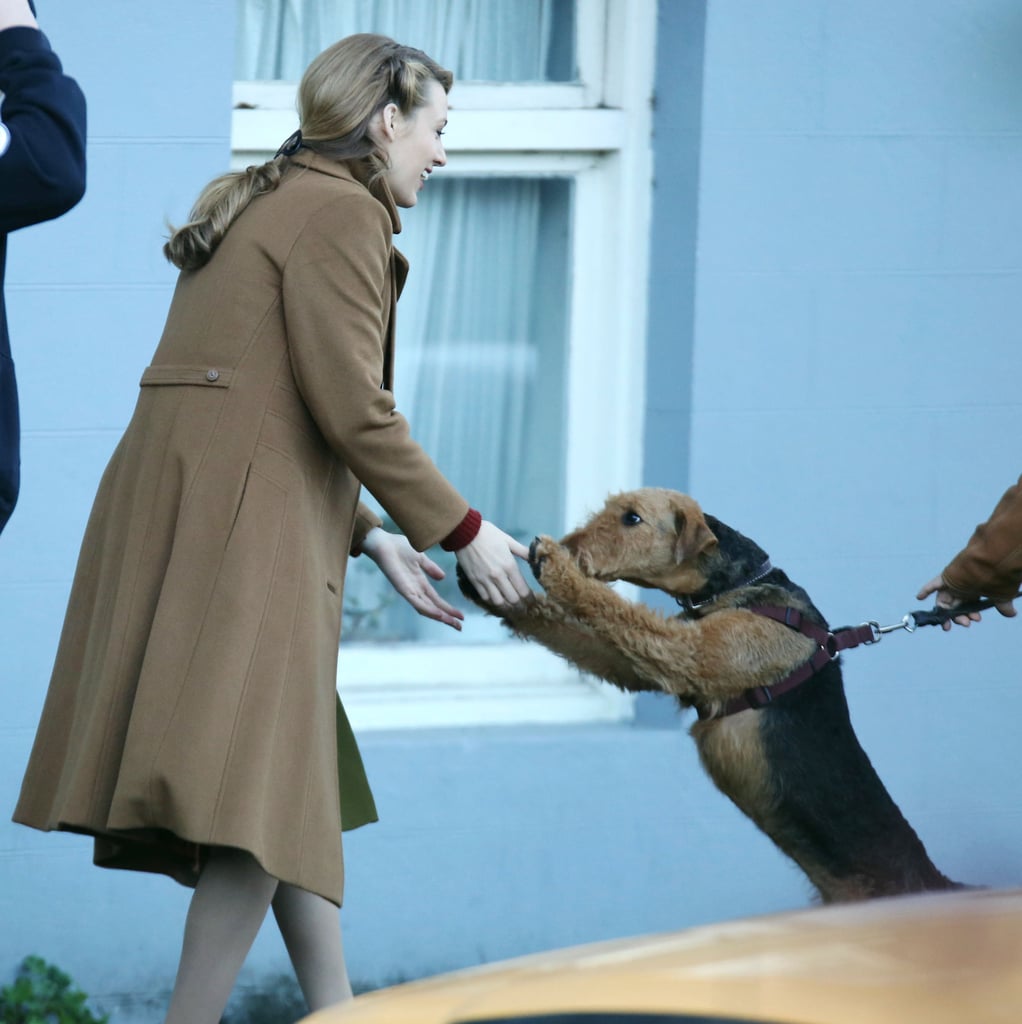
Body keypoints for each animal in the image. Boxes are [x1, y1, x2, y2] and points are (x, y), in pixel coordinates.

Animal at [460, 491, 962, 901]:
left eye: (632, 517)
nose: (571, 545)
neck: (739, 585)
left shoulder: (690, 653)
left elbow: (614, 609)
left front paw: (553, 564)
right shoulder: (643, 664)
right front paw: (493, 589)